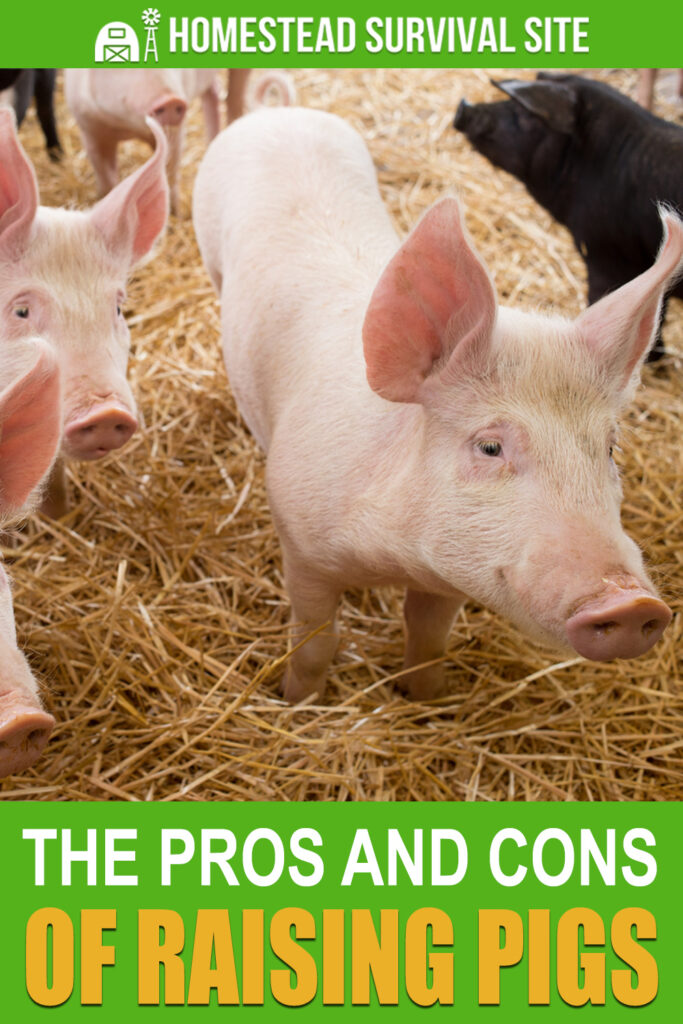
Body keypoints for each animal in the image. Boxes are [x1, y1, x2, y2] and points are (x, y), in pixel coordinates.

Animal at [193, 108, 679, 703]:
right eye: (490, 446)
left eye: (610, 449)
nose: (632, 602)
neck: (395, 557)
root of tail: (279, 111)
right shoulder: (301, 544)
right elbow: (313, 643)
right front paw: (299, 702)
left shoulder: (451, 576)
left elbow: (427, 638)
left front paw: (425, 699)